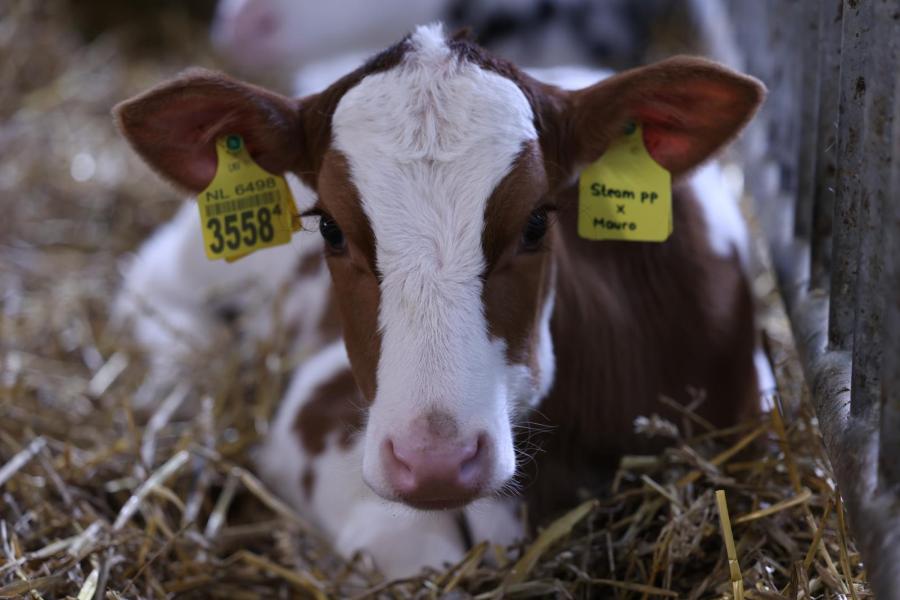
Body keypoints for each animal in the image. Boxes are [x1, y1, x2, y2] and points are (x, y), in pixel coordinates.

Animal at [116, 25, 768, 580]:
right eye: (329, 227)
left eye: (536, 222)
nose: (434, 461)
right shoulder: (317, 400)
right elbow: (408, 542)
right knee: (151, 279)